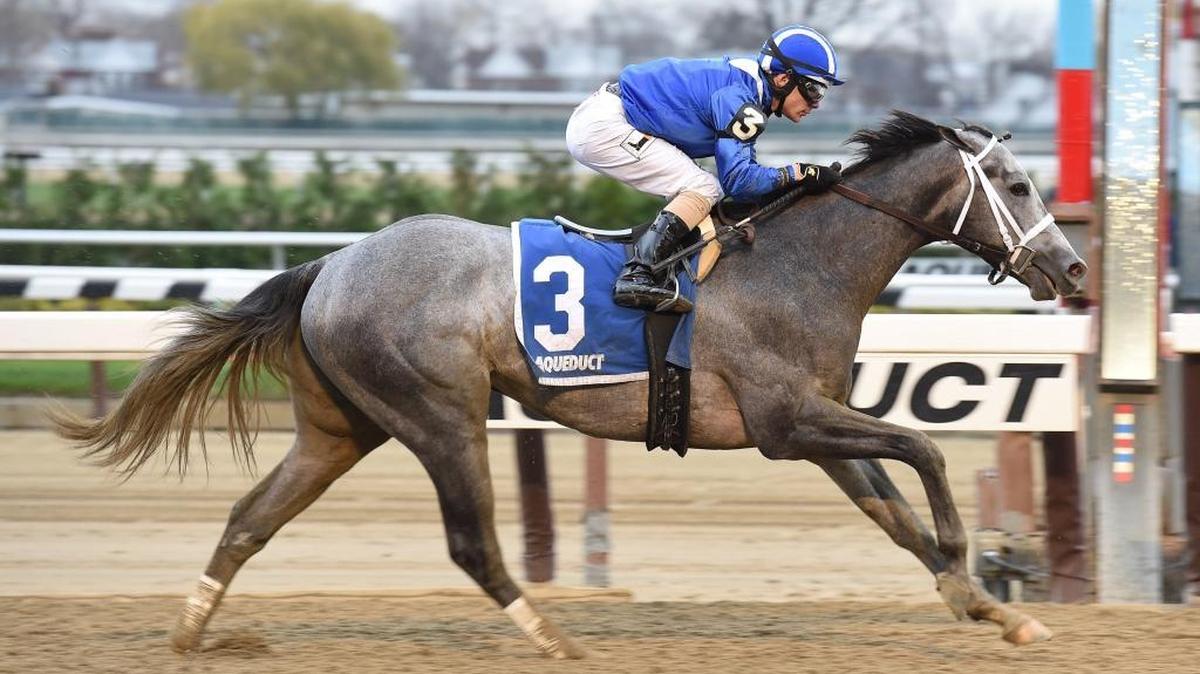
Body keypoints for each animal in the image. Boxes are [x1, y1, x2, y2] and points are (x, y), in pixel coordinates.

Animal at [54, 111, 1087, 659]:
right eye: (1014, 183)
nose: (1073, 270)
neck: (801, 263)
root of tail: (332, 265)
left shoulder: (812, 427)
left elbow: (892, 507)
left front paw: (992, 608)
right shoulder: (789, 421)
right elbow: (923, 451)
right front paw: (971, 565)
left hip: (340, 427)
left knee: (250, 516)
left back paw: (190, 632)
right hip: (440, 415)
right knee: (471, 543)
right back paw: (554, 638)